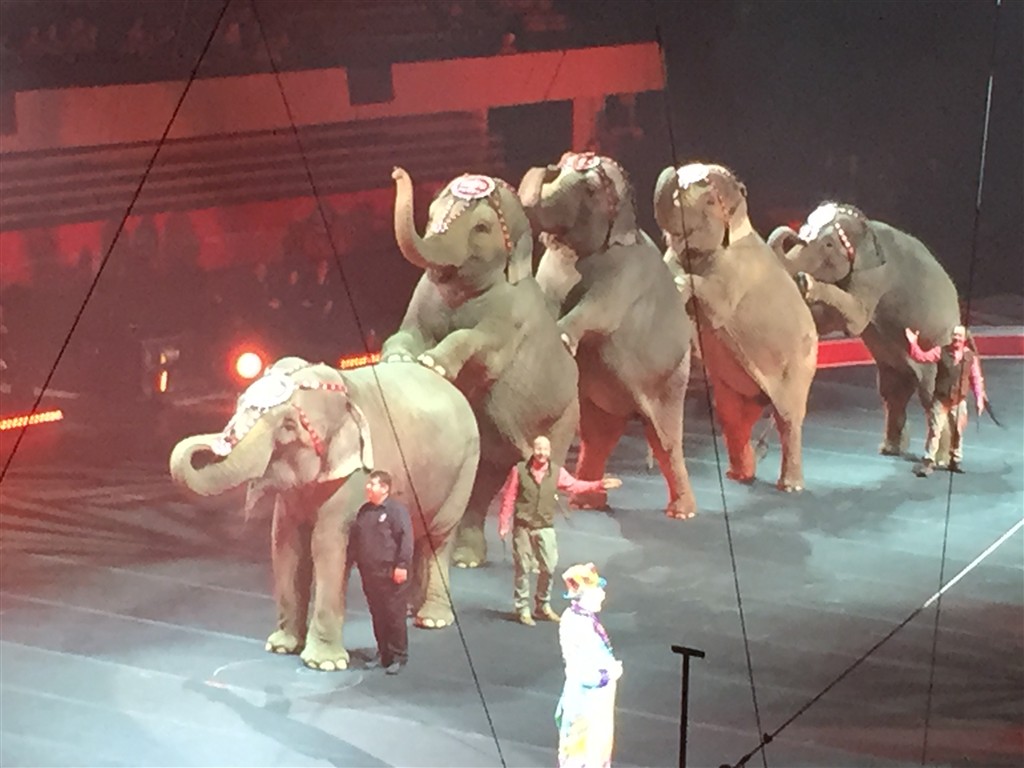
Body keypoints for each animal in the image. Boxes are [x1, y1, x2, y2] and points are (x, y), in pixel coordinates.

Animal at [169, 357, 479, 671]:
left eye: (288, 425)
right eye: (239, 403)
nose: (218, 441)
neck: (346, 391)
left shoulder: (353, 477)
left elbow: (328, 546)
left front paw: (324, 664)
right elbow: (285, 543)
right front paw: (281, 646)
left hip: (465, 467)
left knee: (437, 538)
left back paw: (432, 619)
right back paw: (408, 610)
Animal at [382, 168, 579, 567]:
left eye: (483, 228)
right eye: (431, 216)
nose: (396, 173)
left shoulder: (513, 317)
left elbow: (480, 347)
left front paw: (433, 364)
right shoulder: (423, 296)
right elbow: (405, 332)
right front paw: (399, 359)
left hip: (566, 416)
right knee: (487, 474)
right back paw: (466, 559)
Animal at [518, 151, 698, 519]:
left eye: (590, 188)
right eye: (564, 164)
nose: (551, 166)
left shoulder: (627, 272)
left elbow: (600, 310)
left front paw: (562, 338)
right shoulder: (550, 267)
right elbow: (544, 301)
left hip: (672, 379)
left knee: (665, 439)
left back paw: (682, 513)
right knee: (598, 437)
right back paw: (586, 503)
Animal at [654, 162, 818, 491]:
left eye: (708, 200)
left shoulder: (737, 270)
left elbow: (716, 306)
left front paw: (681, 286)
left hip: (799, 367)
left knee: (789, 418)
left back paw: (789, 486)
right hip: (740, 386)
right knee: (734, 417)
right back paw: (740, 475)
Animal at [767, 202, 961, 455]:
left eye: (828, 245)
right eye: (804, 232)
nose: (796, 235)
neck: (865, 226)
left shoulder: (878, 275)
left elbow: (856, 317)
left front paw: (806, 284)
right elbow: (831, 320)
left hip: (938, 346)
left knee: (931, 395)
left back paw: (938, 458)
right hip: (897, 364)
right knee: (892, 392)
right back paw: (890, 449)